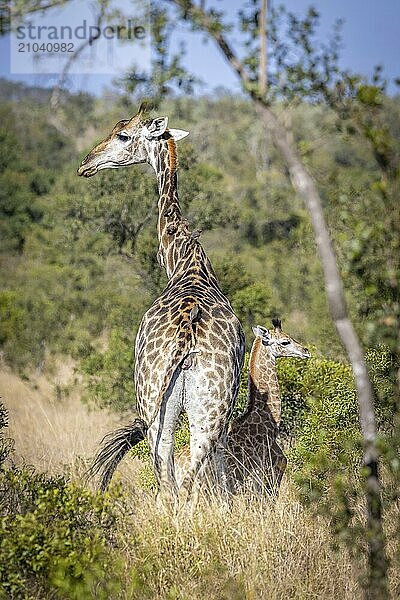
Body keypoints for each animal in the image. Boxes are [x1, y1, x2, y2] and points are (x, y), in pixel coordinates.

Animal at [79, 105, 244, 504]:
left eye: (123, 135)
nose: (86, 163)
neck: (182, 258)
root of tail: (186, 336)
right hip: (195, 408)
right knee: (182, 470)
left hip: (158, 399)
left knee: (175, 475)